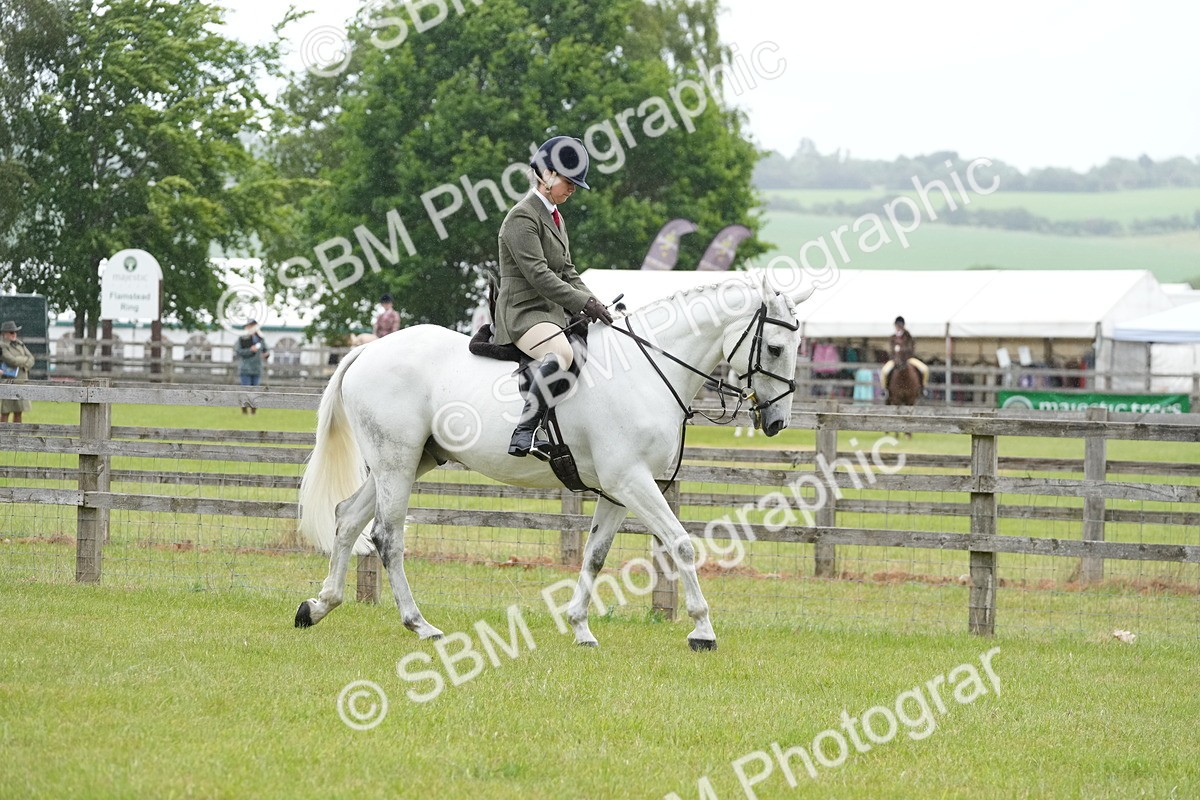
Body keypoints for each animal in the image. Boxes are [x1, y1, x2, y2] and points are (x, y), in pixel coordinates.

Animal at [294, 274, 812, 650]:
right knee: (387, 536)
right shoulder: (633, 481)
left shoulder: (618, 490)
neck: (648, 370)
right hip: (396, 461)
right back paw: (420, 624)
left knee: (347, 518)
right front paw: (702, 630)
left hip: (409, 460)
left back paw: (318, 606)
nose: (777, 422)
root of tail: (367, 350)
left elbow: (595, 554)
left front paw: (580, 628)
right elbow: (681, 544)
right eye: (775, 348)